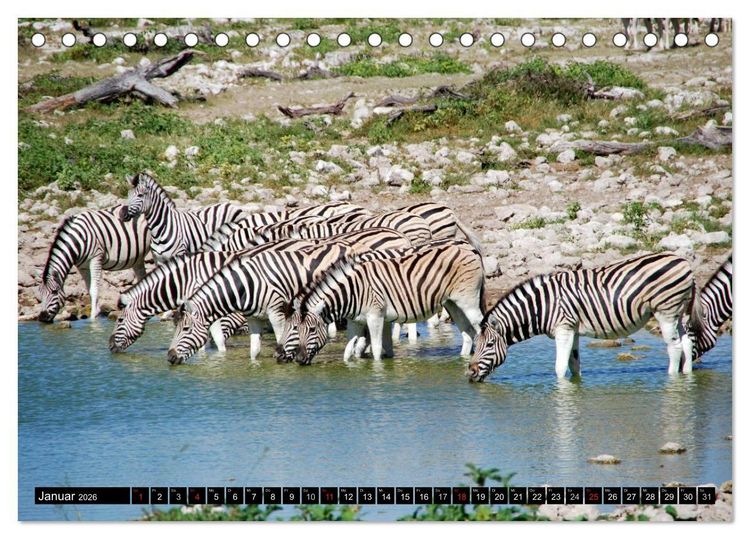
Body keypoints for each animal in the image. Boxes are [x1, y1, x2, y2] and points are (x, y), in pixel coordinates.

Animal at [167, 229, 413, 364]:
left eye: (185, 329)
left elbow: (280, 338)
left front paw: (283, 358)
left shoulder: (276, 311)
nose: (169, 358)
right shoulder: (254, 317)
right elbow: (254, 351)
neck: (247, 283)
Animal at [275, 239, 485, 365]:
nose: (300, 360)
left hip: (468, 301)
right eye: (296, 329)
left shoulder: (375, 317)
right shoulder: (356, 321)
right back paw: (462, 359)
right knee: (467, 333)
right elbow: (348, 350)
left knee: (482, 327)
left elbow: (376, 349)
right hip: (453, 303)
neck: (352, 291)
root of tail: (469, 247)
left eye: (309, 330)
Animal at [467, 252, 701, 382]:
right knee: (687, 343)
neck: (542, 306)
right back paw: (687, 376)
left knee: (675, 347)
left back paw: (671, 378)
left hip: (666, 312)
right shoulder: (573, 330)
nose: (470, 373)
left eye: (489, 345)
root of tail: (684, 262)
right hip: (679, 313)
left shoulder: (563, 328)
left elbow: (560, 367)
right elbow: (574, 364)